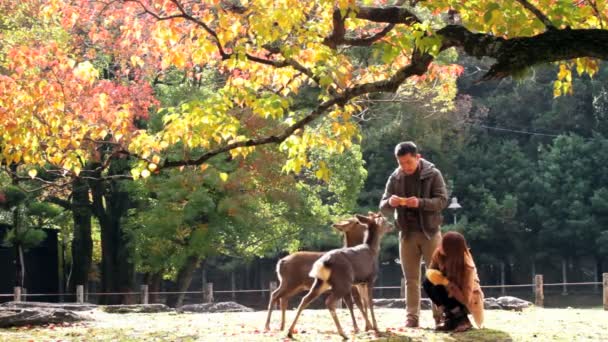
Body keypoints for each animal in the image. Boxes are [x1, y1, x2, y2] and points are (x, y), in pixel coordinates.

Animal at [286, 212, 392, 340]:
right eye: (384, 220)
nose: (392, 225)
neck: (372, 250)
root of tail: (324, 262)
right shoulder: (370, 278)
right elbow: (370, 302)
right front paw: (375, 328)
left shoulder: (360, 282)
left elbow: (364, 301)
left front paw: (368, 327)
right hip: (343, 282)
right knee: (329, 302)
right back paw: (343, 333)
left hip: (321, 282)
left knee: (305, 299)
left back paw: (290, 332)